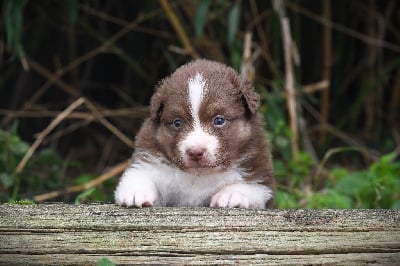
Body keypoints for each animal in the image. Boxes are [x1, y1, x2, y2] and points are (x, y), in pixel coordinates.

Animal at [114, 59, 274, 209]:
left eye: (219, 120)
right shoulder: (149, 156)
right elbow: (139, 173)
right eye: (177, 123)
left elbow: (249, 186)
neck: (198, 176)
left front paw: (232, 195)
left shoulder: (259, 171)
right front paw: (137, 192)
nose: (195, 152)